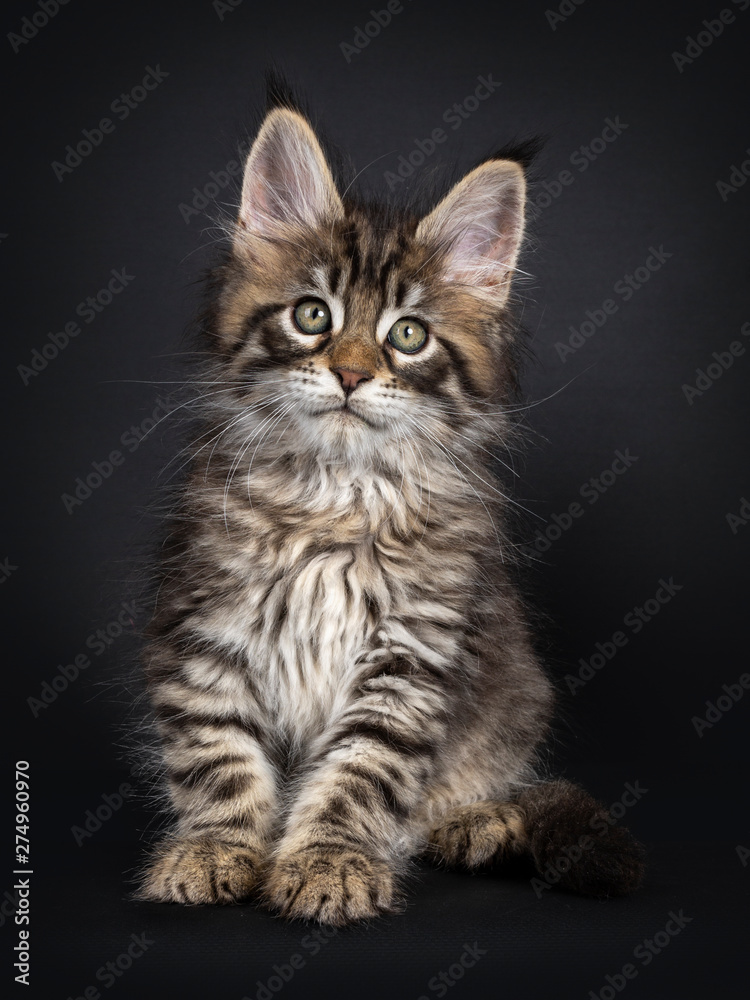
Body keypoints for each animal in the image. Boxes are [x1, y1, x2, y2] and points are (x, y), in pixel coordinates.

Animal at [137, 94, 648, 920]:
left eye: (408, 335)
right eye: (313, 316)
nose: (349, 374)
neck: (336, 497)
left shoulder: (411, 655)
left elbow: (359, 773)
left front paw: (329, 862)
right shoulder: (205, 626)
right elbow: (219, 755)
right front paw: (216, 849)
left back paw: (476, 821)